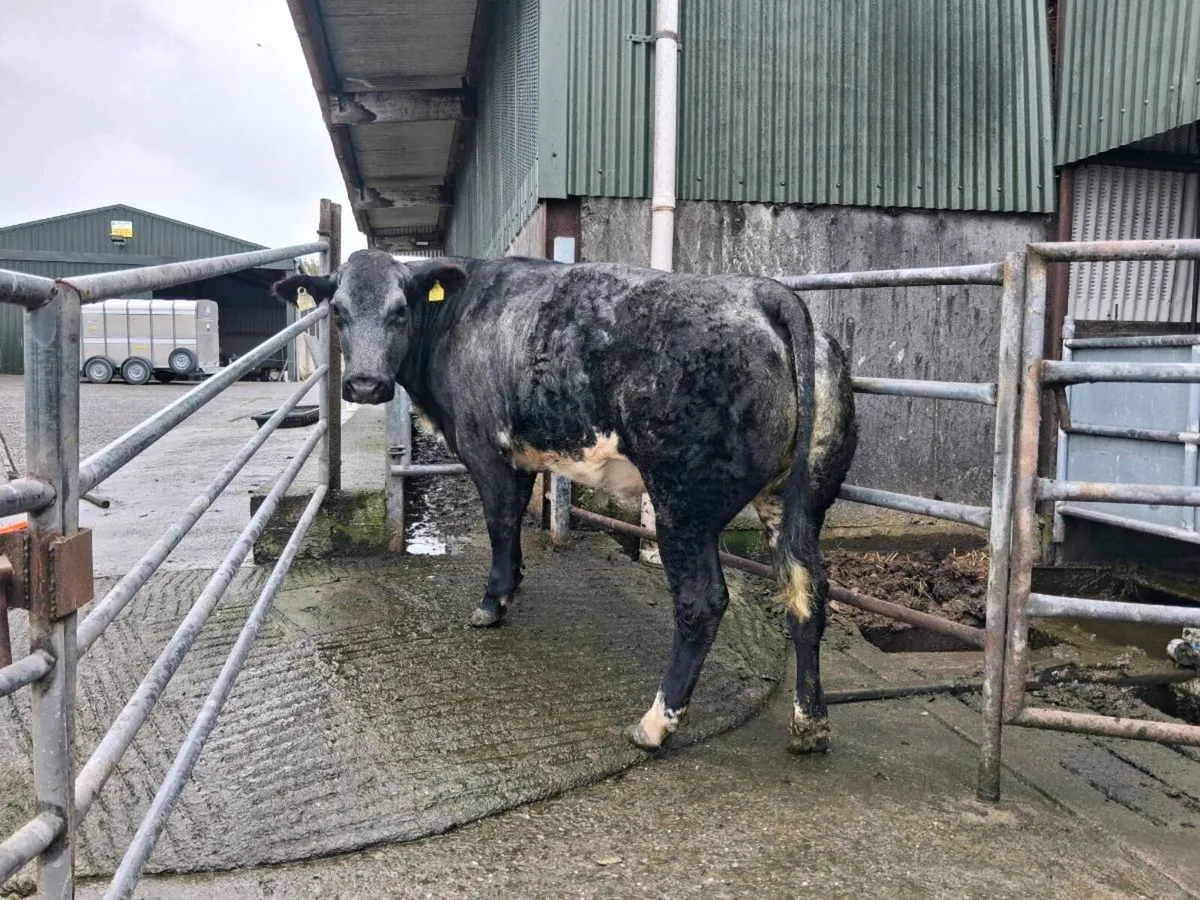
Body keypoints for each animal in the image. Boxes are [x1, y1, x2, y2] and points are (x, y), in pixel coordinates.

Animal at [273, 250, 857, 753]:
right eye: (338, 311)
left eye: (399, 312)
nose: (365, 386)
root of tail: (761, 292)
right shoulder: (522, 458)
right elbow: (513, 520)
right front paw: (513, 584)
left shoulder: (483, 448)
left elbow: (499, 522)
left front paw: (492, 603)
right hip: (800, 498)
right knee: (807, 592)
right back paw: (810, 724)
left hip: (683, 504)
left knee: (702, 600)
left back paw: (655, 723)